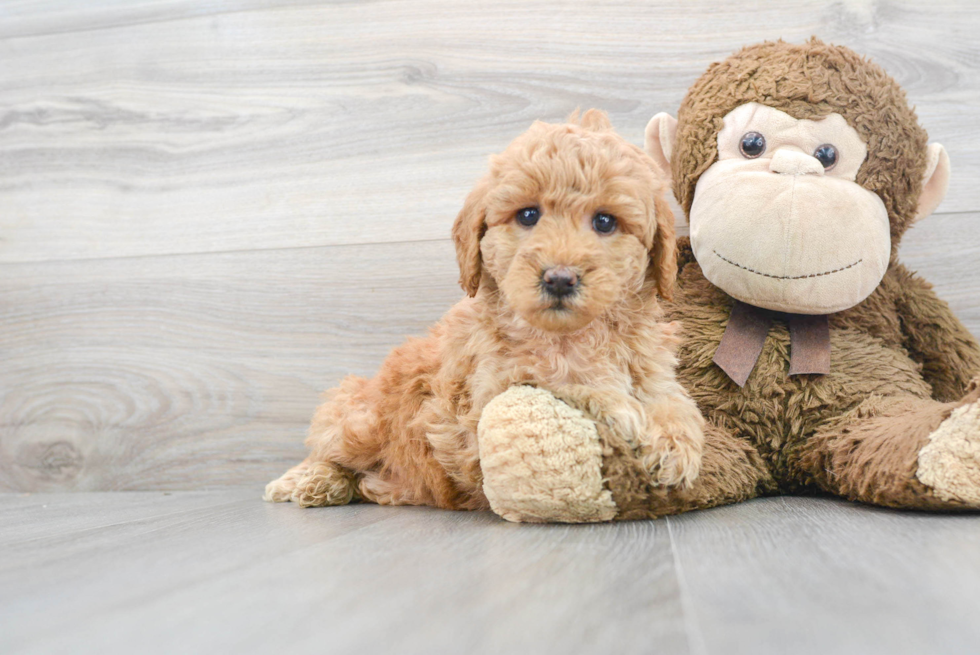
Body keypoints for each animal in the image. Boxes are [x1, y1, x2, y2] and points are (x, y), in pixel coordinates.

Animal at [264, 110, 700, 510]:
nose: (559, 279)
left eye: (605, 222)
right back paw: (309, 480)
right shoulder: (489, 395)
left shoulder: (651, 368)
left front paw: (675, 442)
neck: (568, 336)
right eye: (528, 215)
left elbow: (673, 401)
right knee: (329, 447)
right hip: (362, 420)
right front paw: (622, 408)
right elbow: (566, 382)